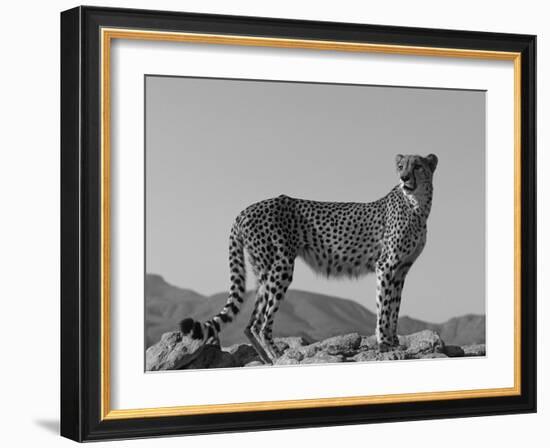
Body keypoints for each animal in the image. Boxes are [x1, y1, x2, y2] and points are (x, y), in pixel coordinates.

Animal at [181, 154, 440, 364]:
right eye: (400, 166)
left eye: (417, 166)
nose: (404, 178)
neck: (417, 206)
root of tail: (246, 209)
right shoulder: (386, 266)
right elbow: (384, 307)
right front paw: (385, 344)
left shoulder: (401, 269)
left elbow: (394, 306)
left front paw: (394, 341)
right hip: (281, 266)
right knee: (262, 323)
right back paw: (279, 356)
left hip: (264, 271)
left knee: (250, 323)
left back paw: (267, 359)